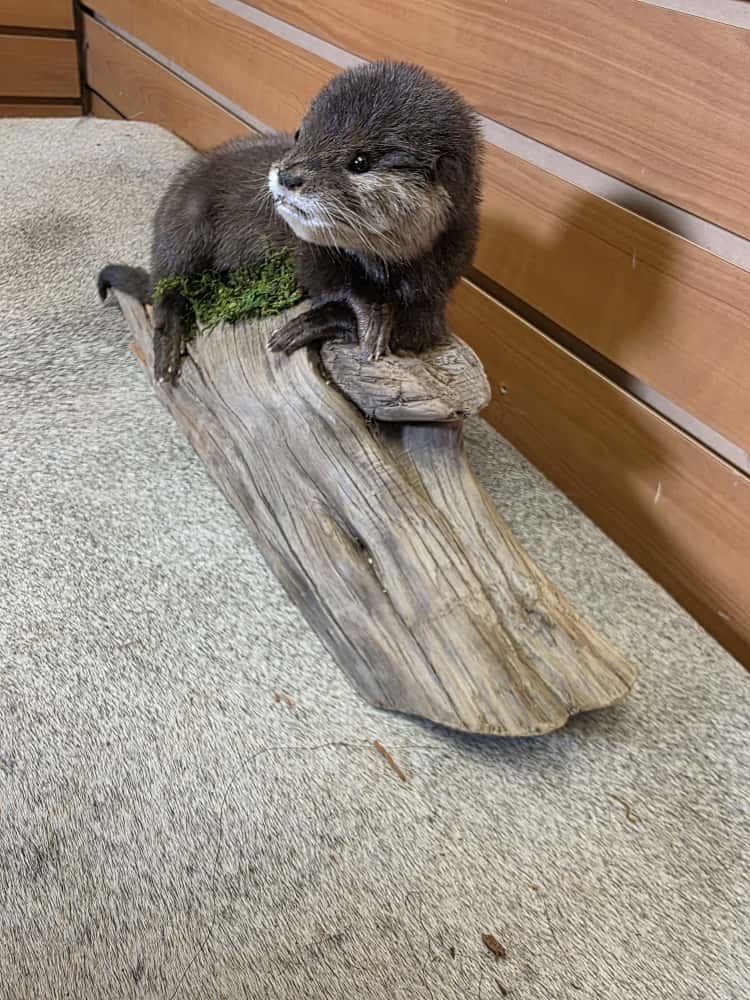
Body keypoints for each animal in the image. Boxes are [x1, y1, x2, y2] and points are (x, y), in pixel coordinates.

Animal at [98, 61, 482, 384]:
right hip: (184, 222)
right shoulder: (310, 254)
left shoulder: (436, 292)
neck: (384, 266)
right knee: (168, 290)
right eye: (301, 135)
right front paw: (368, 309)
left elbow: (416, 329)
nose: (288, 175)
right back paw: (167, 354)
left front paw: (316, 323)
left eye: (360, 161)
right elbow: (335, 284)